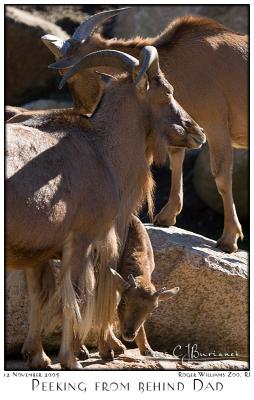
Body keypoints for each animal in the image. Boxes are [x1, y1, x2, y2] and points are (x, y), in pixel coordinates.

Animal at [43, 7, 248, 253]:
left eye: (70, 72)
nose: (82, 109)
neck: (182, 60)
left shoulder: (216, 125)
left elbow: (221, 176)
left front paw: (229, 239)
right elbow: (176, 160)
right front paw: (167, 216)